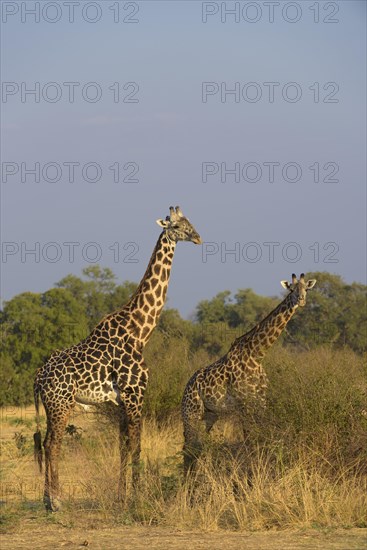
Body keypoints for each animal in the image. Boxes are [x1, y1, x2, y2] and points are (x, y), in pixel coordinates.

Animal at [33, 208, 203, 512]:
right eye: (177, 226)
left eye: (189, 222)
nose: (198, 237)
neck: (140, 331)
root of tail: (39, 376)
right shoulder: (136, 395)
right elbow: (136, 446)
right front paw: (138, 496)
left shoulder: (123, 401)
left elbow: (123, 446)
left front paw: (122, 494)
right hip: (61, 404)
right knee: (53, 444)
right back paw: (56, 501)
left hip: (51, 406)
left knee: (45, 444)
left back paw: (47, 499)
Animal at [183, 274, 318, 476]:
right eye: (291, 290)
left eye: (306, 289)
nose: (301, 300)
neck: (256, 355)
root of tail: (186, 387)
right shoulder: (244, 404)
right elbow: (249, 440)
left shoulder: (261, 403)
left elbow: (259, 438)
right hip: (191, 413)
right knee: (187, 447)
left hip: (209, 415)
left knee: (195, 446)